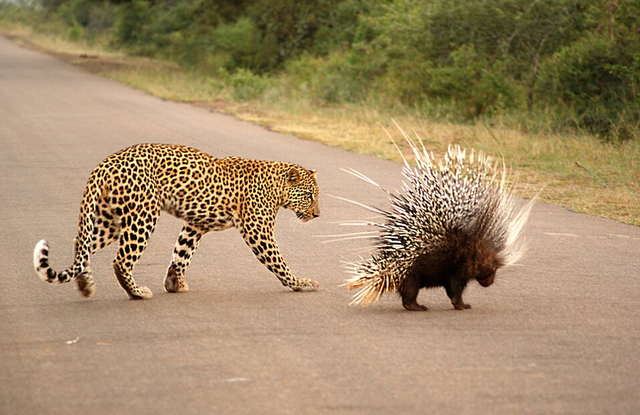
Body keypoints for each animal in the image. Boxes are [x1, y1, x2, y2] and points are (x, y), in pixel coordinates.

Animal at [31, 143, 320, 300]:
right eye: (309, 195)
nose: (318, 215)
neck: (276, 188)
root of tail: (106, 162)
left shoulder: (196, 224)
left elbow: (182, 253)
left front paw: (174, 283)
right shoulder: (257, 230)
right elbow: (278, 262)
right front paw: (300, 283)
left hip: (109, 219)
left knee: (81, 243)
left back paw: (86, 285)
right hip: (142, 215)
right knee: (120, 260)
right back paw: (137, 292)